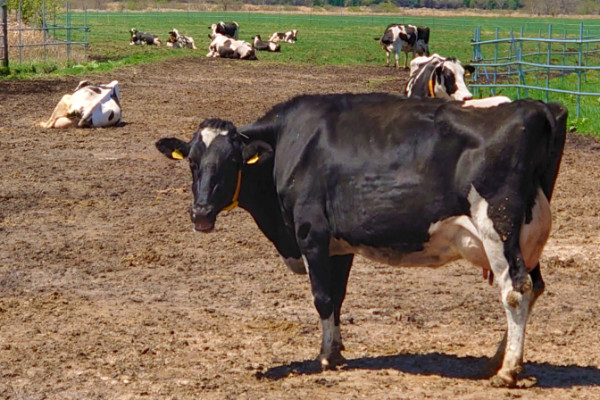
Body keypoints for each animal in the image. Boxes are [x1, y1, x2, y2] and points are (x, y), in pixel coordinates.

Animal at [155, 93, 567, 388]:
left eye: (232, 162)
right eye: (192, 161)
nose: (200, 213)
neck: (290, 142)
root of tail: (536, 106)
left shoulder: (312, 233)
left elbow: (322, 297)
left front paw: (324, 357)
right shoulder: (339, 245)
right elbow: (337, 297)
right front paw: (337, 350)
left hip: (499, 225)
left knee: (514, 290)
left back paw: (508, 370)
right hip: (528, 237)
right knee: (532, 287)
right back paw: (495, 360)